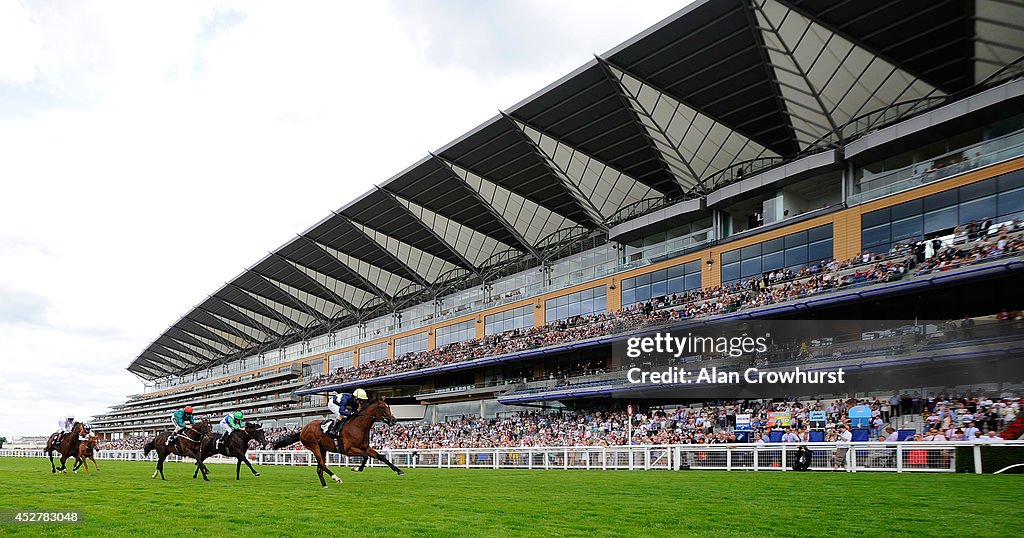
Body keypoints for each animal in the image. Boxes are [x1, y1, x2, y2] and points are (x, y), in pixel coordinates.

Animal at [274, 393, 405, 485]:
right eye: (382, 407)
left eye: (389, 407)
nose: (394, 420)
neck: (358, 427)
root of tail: (303, 429)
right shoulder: (348, 450)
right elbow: (365, 456)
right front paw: (356, 468)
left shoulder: (365, 447)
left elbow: (381, 457)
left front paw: (399, 470)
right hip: (313, 446)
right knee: (322, 464)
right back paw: (337, 478)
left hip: (322, 448)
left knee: (319, 468)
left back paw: (325, 486)